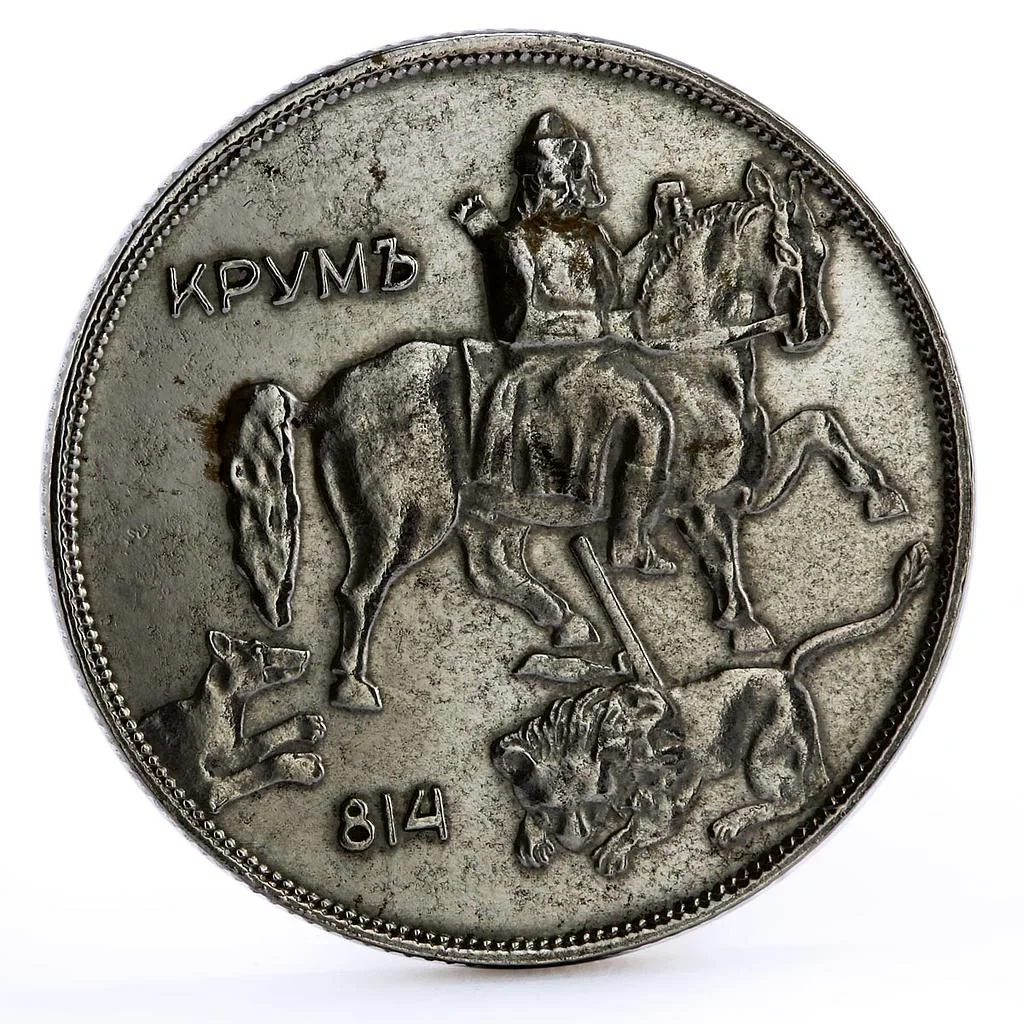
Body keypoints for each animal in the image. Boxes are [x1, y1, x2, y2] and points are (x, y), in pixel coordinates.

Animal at [219, 162, 906, 711]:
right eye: (786, 252)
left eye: (822, 252)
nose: (810, 333)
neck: (692, 360)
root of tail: (324, 398)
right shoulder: (701, 496)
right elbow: (721, 549)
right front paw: (743, 625)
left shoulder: (745, 482)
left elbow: (820, 424)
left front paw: (882, 497)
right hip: (410, 515)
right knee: (362, 590)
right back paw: (354, 688)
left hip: (494, 508)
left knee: (490, 570)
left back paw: (568, 625)